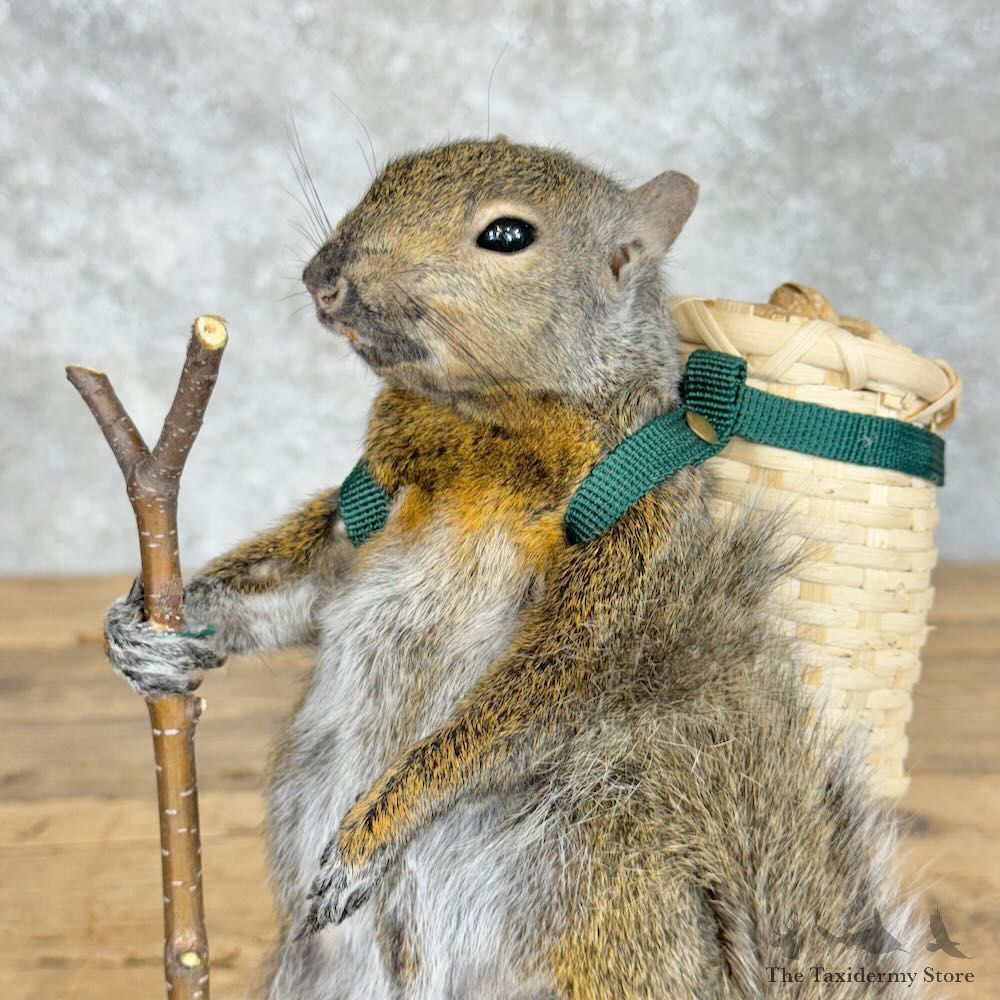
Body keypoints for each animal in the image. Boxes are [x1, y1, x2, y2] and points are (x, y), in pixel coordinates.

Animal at [104, 137, 922, 999]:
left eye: (506, 236)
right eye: (385, 176)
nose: (323, 276)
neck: (488, 424)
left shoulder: (630, 559)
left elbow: (519, 708)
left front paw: (371, 831)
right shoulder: (372, 504)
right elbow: (294, 584)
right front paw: (154, 631)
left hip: (601, 918)